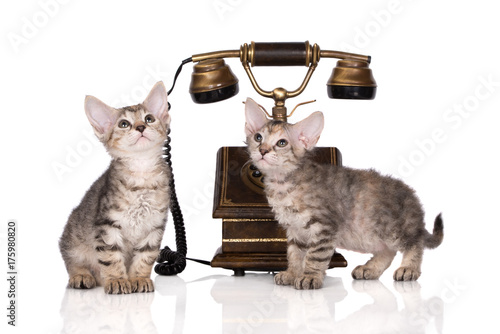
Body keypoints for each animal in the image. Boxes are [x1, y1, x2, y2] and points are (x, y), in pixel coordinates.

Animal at [59, 82, 170, 294]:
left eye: (149, 118)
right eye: (124, 124)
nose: (141, 127)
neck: (141, 173)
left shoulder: (154, 226)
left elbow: (145, 256)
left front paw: (138, 278)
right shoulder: (107, 225)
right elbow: (111, 257)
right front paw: (117, 280)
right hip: (72, 237)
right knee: (72, 262)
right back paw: (82, 276)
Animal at [244, 97, 444, 290]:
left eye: (282, 143)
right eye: (258, 137)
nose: (262, 150)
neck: (282, 184)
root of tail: (413, 198)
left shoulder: (324, 227)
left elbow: (315, 256)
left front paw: (310, 276)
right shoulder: (294, 230)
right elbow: (294, 254)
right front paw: (292, 273)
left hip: (394, 230)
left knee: (414, 243)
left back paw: (408, 268)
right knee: (388, 251)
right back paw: (370, 268)